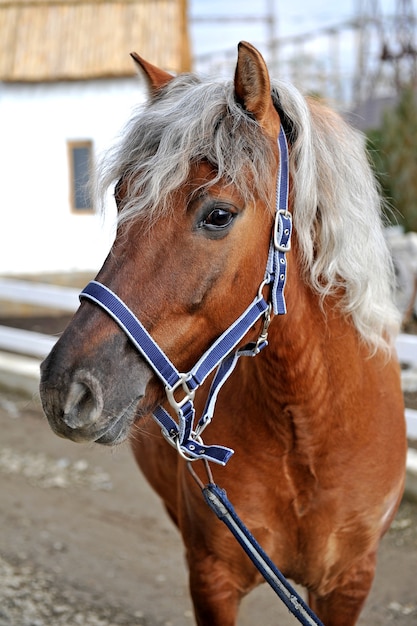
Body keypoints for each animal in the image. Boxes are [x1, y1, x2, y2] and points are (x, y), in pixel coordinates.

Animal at [41, 41, 406, 620]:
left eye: (218, 215)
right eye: (123, 198)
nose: (65, 388)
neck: (309, 425)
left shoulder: (349, 584)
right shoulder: (212, 578)